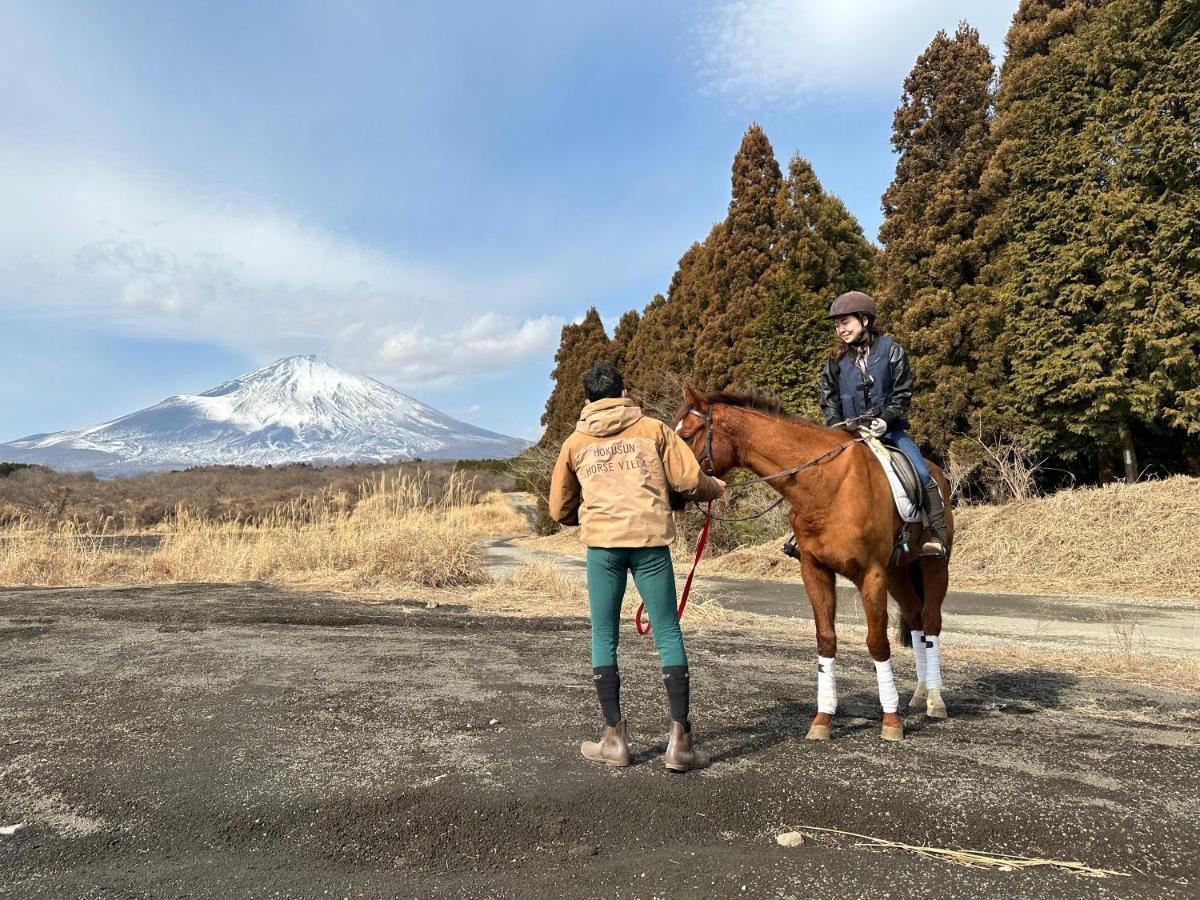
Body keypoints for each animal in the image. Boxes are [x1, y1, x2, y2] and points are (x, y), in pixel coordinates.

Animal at [672, 391, 950, 744]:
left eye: (686, 437)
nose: (673, 495)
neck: (827, 485)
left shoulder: (872, 575)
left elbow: (877, 642)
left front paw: (891, 719)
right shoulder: (815, 570)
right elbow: (825, 639)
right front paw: (823, 718)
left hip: (933, 566)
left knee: (930, 622)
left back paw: (935, 699)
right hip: (899, 572)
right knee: (915, 618)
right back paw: (920, 692)